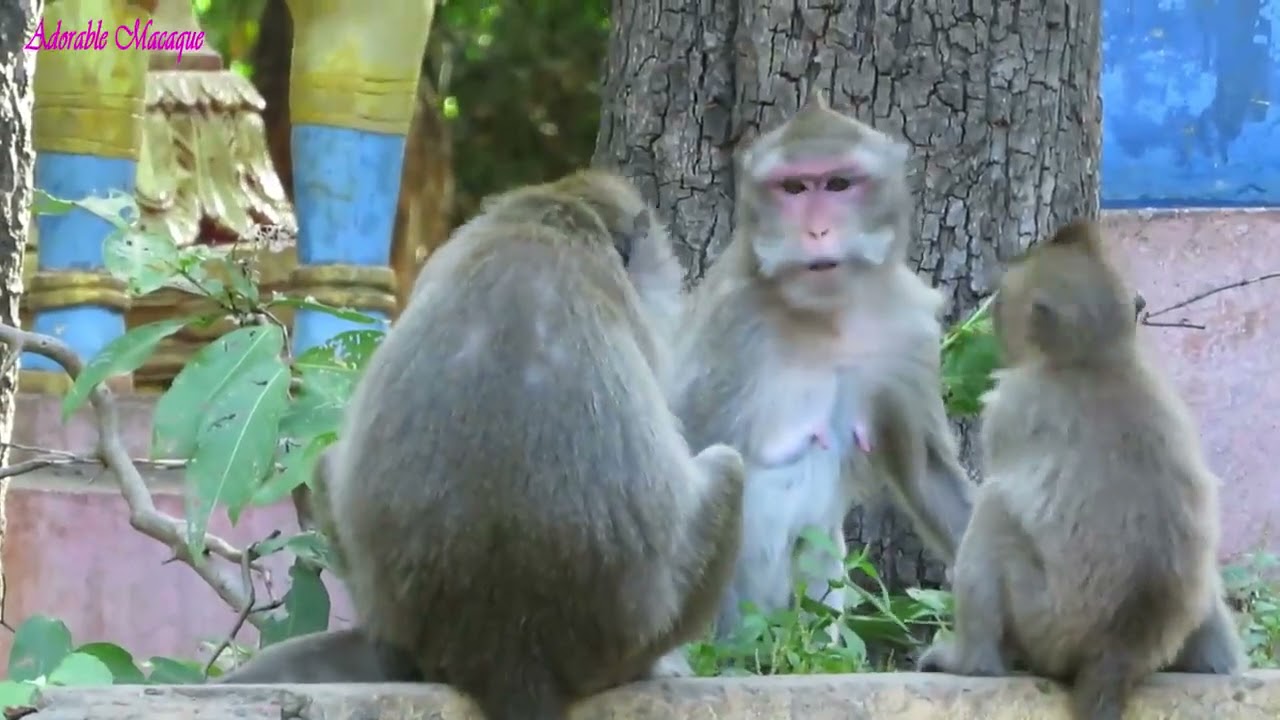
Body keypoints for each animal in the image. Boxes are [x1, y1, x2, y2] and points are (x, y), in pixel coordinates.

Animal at [667, 92, 976, 640]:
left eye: (837, 184)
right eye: (793, 188)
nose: (816, 230)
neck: (826, 318)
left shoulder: (908, 330)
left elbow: (926, 470)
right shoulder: (728, 330)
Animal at [916, 219, 1245, 720]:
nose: (994, 319)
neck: (1098, 361)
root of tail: (1119, 653)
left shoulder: (1012, 405)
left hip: (1046, 626)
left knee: (995, 513)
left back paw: (972, 663)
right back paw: (1216, 668)